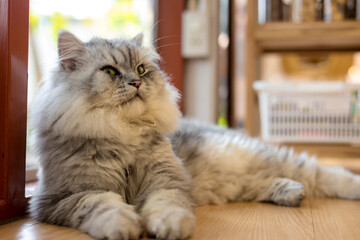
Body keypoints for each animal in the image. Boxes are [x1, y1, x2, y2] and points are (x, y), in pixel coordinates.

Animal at [29, 31, 360, 239]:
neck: (123, 132)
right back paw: (290, 191)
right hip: (237, 180)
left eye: (141, 69)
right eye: (110, 71)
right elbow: (104, 205)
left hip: (263, 157)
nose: (136, 82)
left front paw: (169, 227)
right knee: (268, 181)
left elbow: (167, 205)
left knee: (325, 173)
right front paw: (124, 225)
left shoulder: (165, 181)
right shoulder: (69, 196)